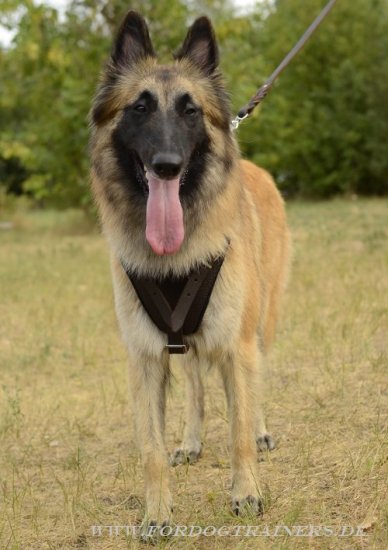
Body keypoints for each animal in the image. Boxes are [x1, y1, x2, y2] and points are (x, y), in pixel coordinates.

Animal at [89, 9, 292, 536]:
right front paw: (157, 513)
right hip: (184, 344)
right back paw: (192, 441)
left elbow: (238, 428)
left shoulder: (235, 345)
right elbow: (151, 450)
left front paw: (245, 493)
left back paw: (261, 431)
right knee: (198, 391)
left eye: (190, 111)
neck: (175, 259)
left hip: (260, 325)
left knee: (255, 385)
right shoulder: (146, 359)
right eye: (139, 108)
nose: (166, 165)